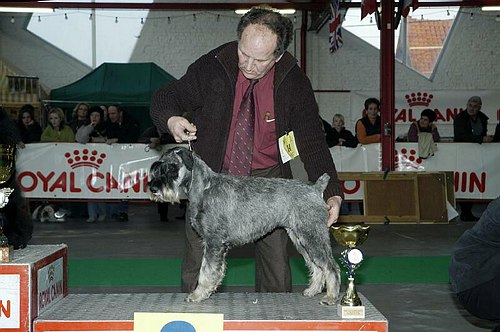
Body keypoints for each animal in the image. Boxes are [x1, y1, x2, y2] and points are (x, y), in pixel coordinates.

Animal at [147, 147, 340, 304]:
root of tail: (315, 189)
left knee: (330, 266)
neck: (204, 188)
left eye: (171, 167)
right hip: (301, 239)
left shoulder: (214, 242)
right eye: (156, 168)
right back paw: (312, 290)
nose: (153, 188)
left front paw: (198, 294)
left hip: (312, 236)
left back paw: (331, 296)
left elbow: (206, 271)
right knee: (317, 266)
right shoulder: (212, 244)